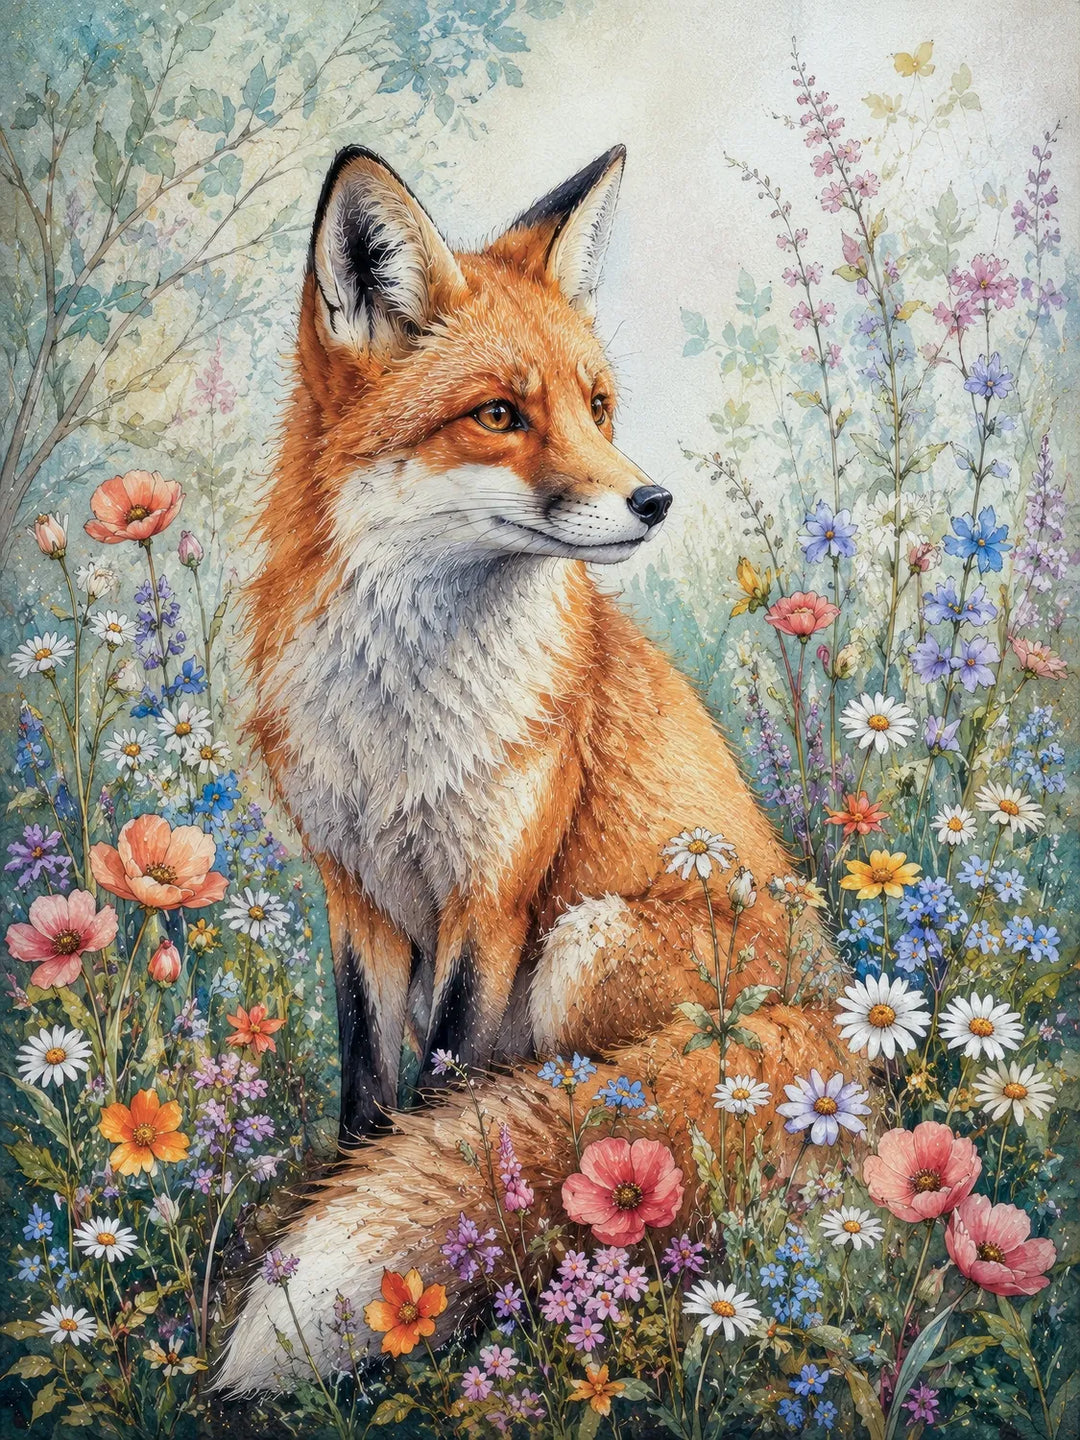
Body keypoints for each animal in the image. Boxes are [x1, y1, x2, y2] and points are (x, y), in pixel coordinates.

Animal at [218, 144, 857, 1393]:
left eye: (597, 407)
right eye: (500, 416)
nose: (652, 499)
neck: (401, 721)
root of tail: (829, 1022)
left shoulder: (494, 899)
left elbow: (445, 1093)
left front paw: (433, 1284)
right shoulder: (356, 899)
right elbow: (370, 1097)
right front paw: (345, 1221)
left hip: (581, 945)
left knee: (609, 1119)